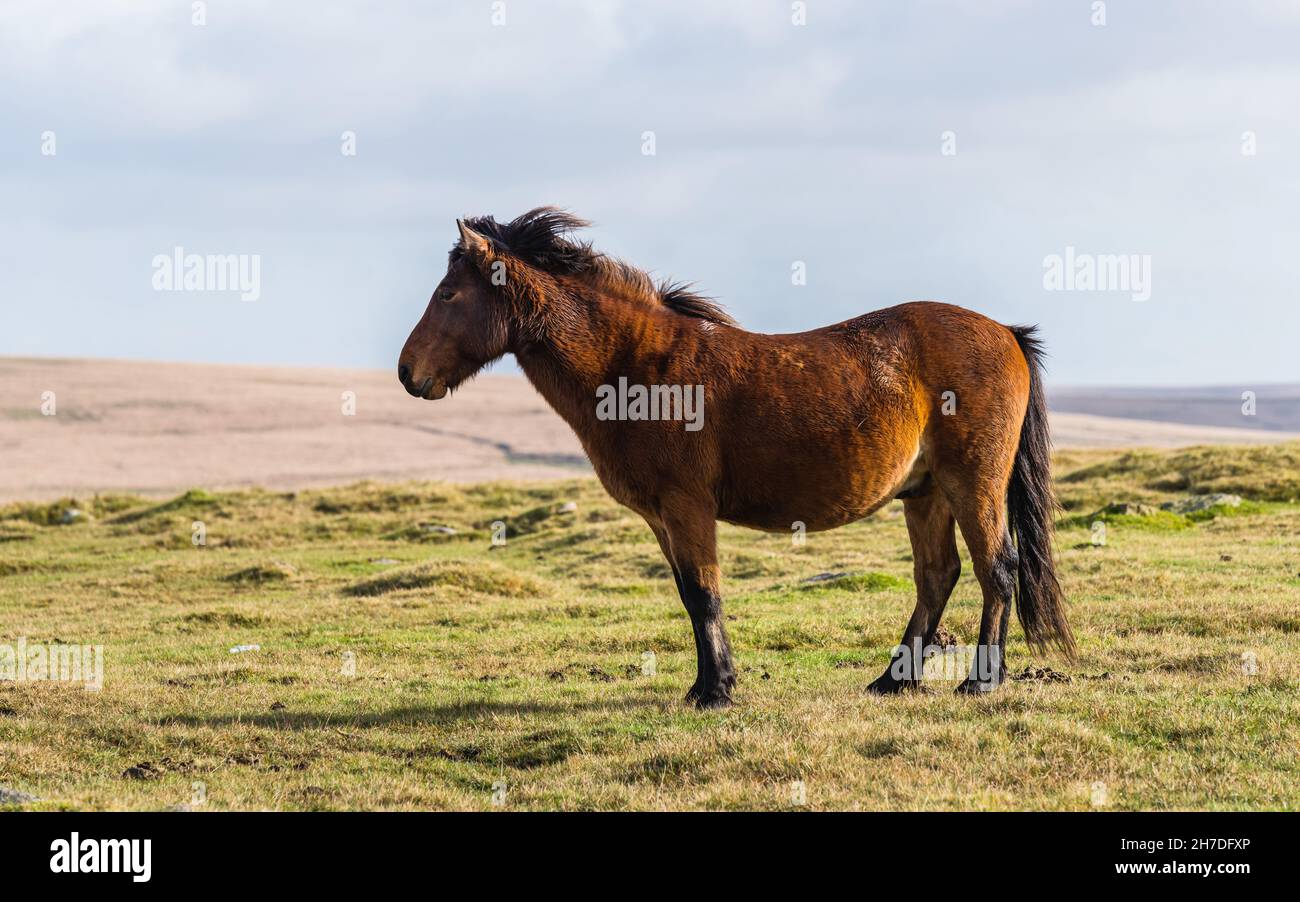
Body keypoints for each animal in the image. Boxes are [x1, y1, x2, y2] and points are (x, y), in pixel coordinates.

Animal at [398, 208, 1075, 708]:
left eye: (448, 293)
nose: (408, 373)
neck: (637, 367)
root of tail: (1006, 333)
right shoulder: (663, 519)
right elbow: (689, 595)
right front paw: (707, 683)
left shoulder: (686, 507)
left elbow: (704, 593)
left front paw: (716, 691)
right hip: (926, 492)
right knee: (938, 576)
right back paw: (892, 680)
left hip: (972, 484)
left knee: (997, 568)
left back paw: (980, 680)